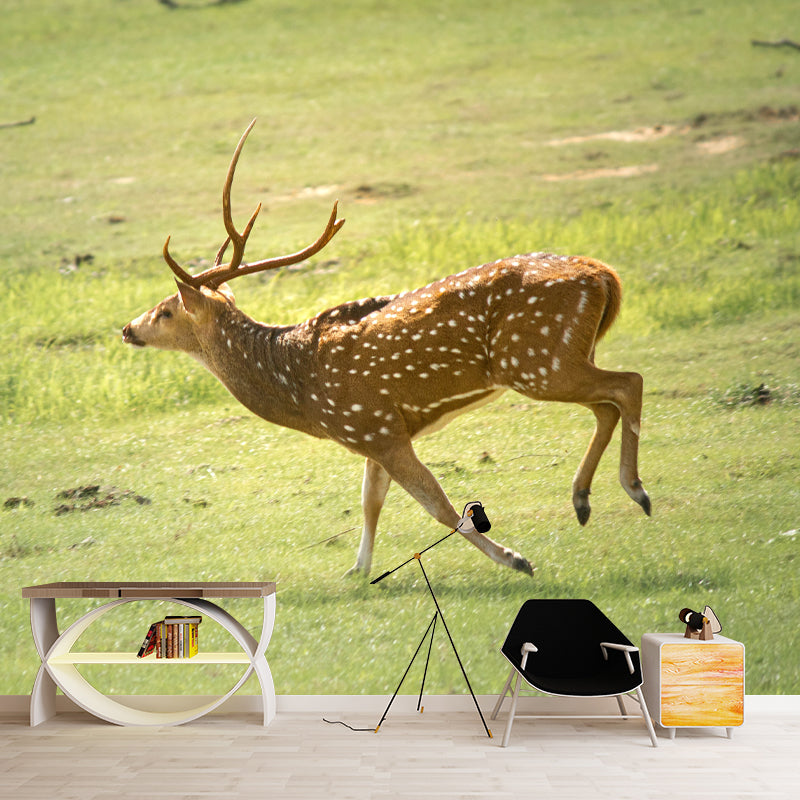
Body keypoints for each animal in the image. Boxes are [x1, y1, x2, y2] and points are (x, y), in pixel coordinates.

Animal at [122, 120, 651, 578]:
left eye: (166, 310)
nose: (128, 328)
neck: (302, 393)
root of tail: (604, 275)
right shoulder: (371, 431)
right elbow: (370, 500)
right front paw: (357, 571)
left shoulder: (376, 428)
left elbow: (438, 504)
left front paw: (516, 559)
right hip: (562, 358)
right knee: (607, 402)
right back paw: (583, 499)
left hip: (536, 361)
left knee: (629, 383)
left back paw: (635, 490)